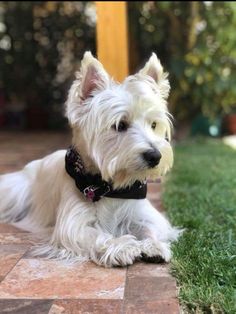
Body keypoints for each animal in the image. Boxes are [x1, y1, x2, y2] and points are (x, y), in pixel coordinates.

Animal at [0, 52, 179, 268]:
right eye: (119, 125)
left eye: (153, 124)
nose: (155, 156)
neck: (112, 188)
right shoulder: (73, 224)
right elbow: (97, 235)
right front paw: (122, 247)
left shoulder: (143, 213)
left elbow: (150, 228)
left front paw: (154, 246)